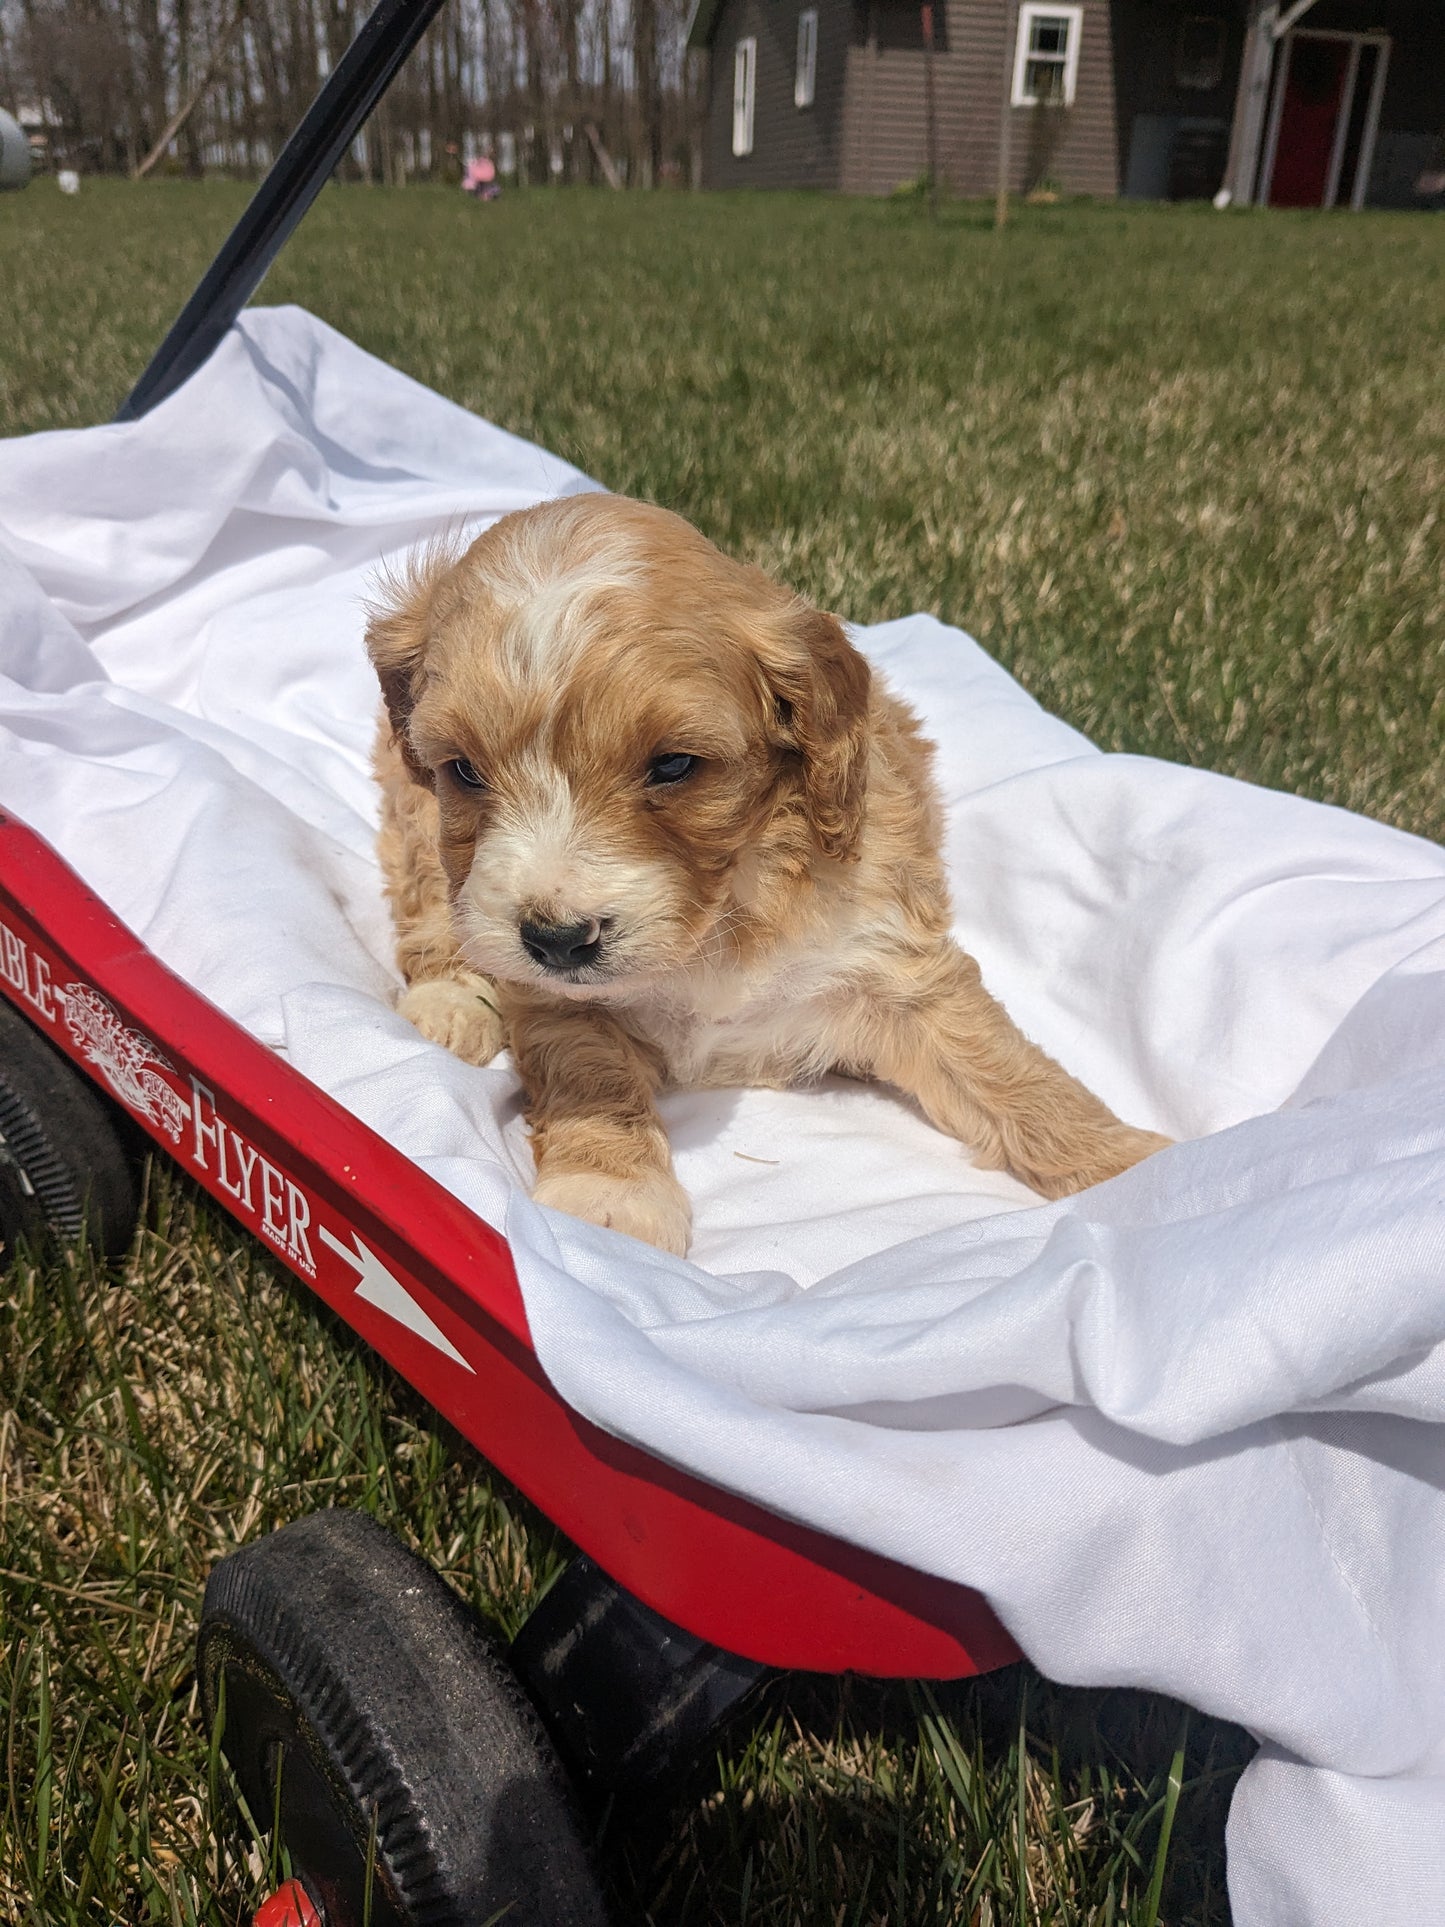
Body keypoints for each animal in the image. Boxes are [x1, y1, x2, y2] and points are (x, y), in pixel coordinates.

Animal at [367, 489, 1171, 1256]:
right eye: (464, 770)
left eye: (674, 765)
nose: (557, 940)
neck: (722, 913)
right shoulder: (553, 995)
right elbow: (589, 1072)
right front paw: (610, 1192)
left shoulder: (893, 957)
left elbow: (1000, 1067)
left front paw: (1137, 1167)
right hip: (415, 818)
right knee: (429, 902)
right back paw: (450, 1002)